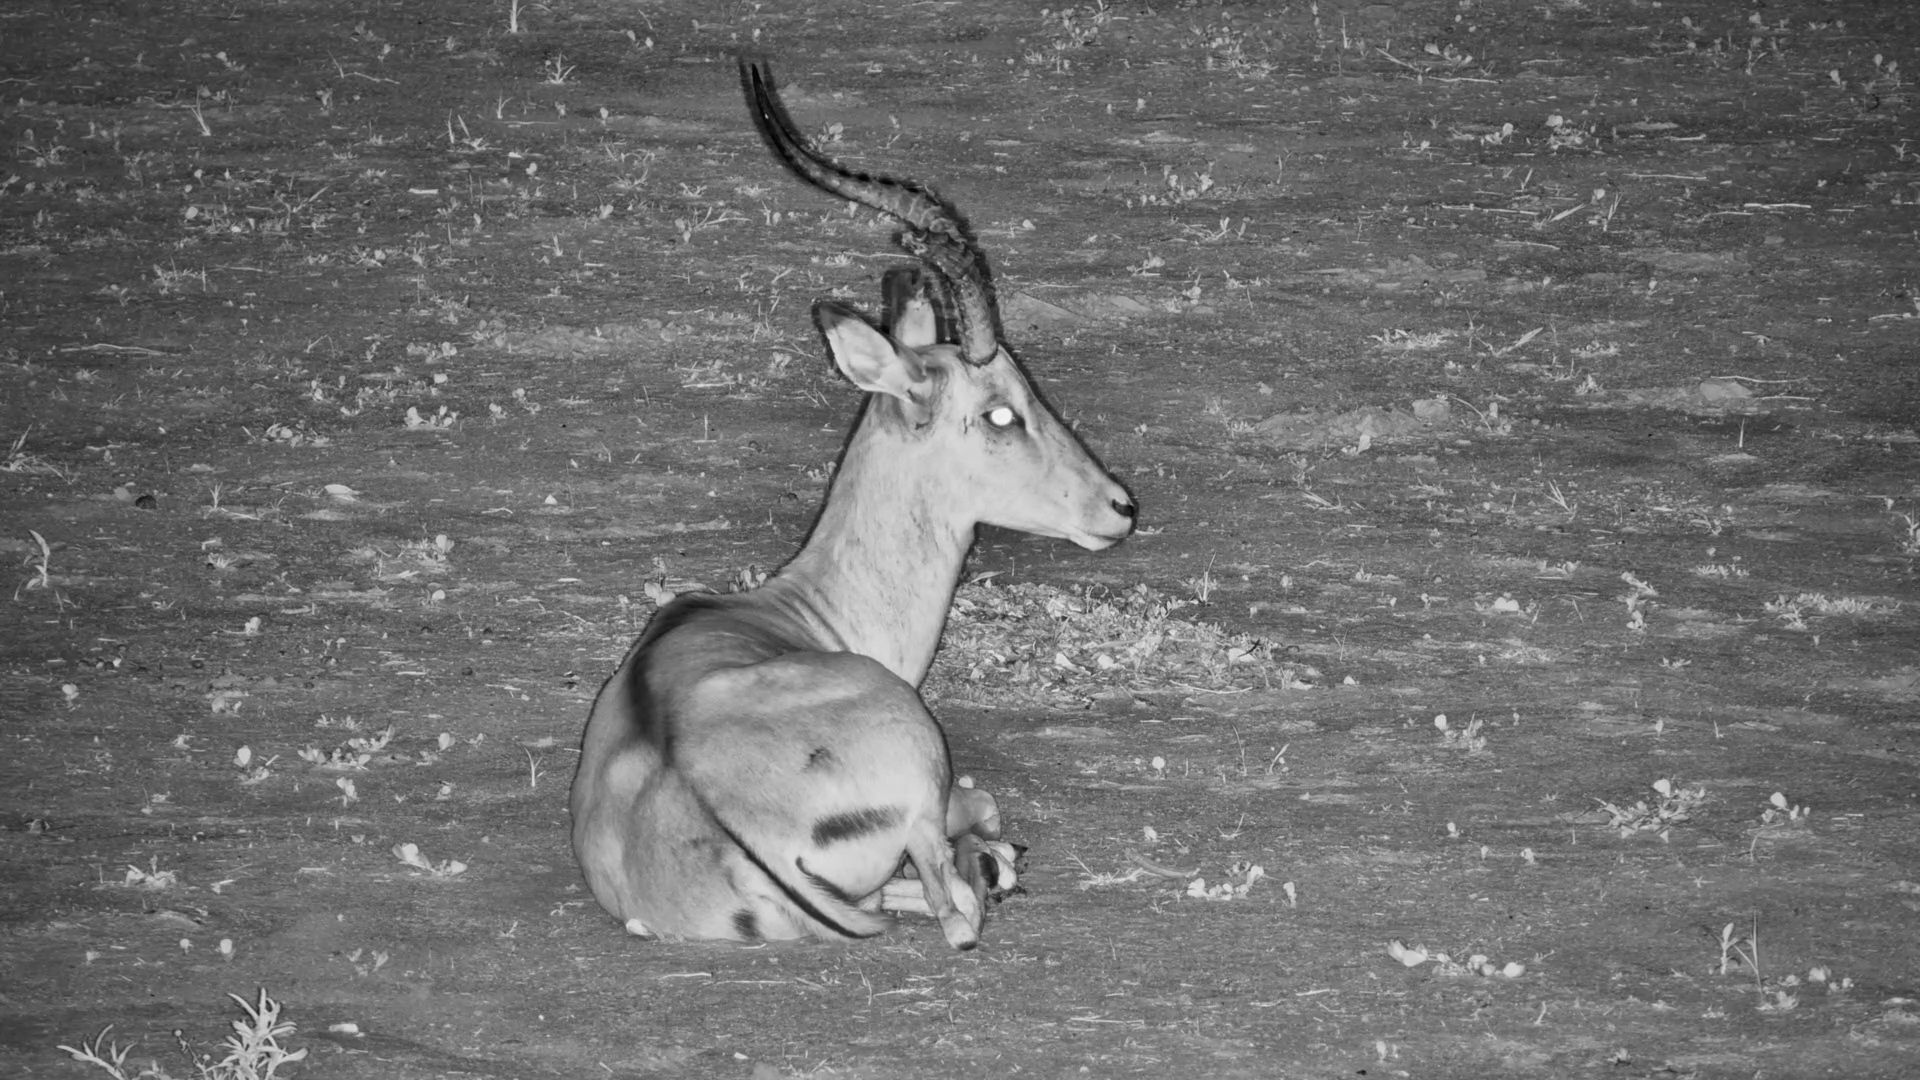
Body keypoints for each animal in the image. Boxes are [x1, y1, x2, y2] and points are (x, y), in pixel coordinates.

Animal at [567, 59, 1137, 950]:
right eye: (1000, 411)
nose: (1118, 506)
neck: (795, 613)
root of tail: (715, 812)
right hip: (919, 781)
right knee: (957, 909)